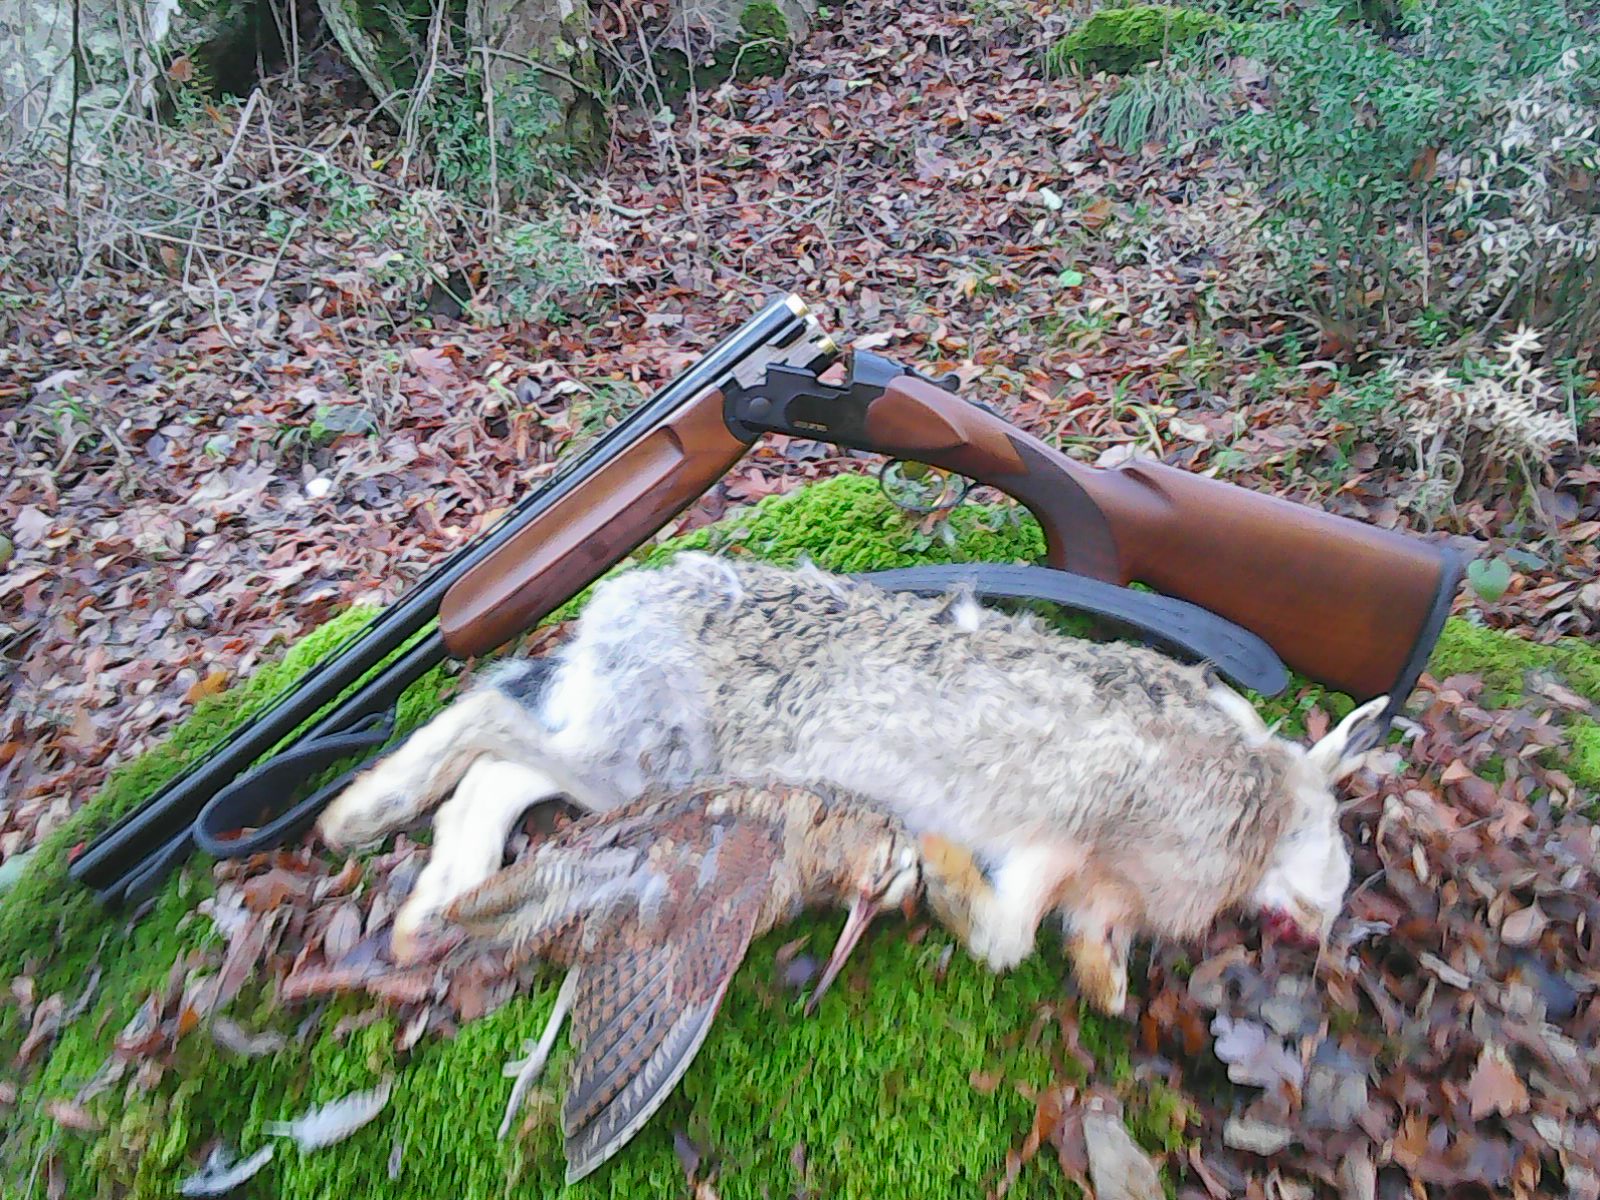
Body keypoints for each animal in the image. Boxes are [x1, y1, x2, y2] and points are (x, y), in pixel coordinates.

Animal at [316, 552, 1386, 1013]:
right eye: (1333, 848)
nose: (1320, 933)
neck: (1263, 796)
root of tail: (622, 602)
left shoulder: (1095, 885)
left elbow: (1076, 939)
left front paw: (1106, 988)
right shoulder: (1075, 827)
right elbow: (1007, 934)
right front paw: (945, 873)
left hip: (623, 767)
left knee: (498, 775)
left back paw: (425, 916)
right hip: (645, 756)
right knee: (491, 722)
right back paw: (352, 817)